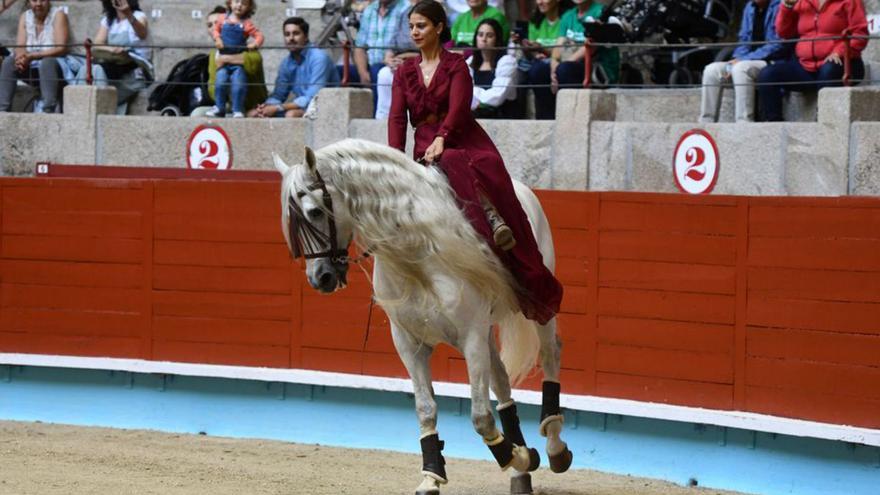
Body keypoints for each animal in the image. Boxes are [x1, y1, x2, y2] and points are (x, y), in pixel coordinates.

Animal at [276, 140, 576, 495]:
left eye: (316, 212)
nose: (319, 278)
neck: (413, 255)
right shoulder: (409, 343)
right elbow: (426, 408)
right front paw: (432, 475)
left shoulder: (470, 337)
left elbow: (479, 416)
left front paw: (517, 455)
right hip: (486, 329)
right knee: (501, 378)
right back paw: (520, 472)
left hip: (537, 300)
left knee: (550, 352)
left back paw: (554, 448)